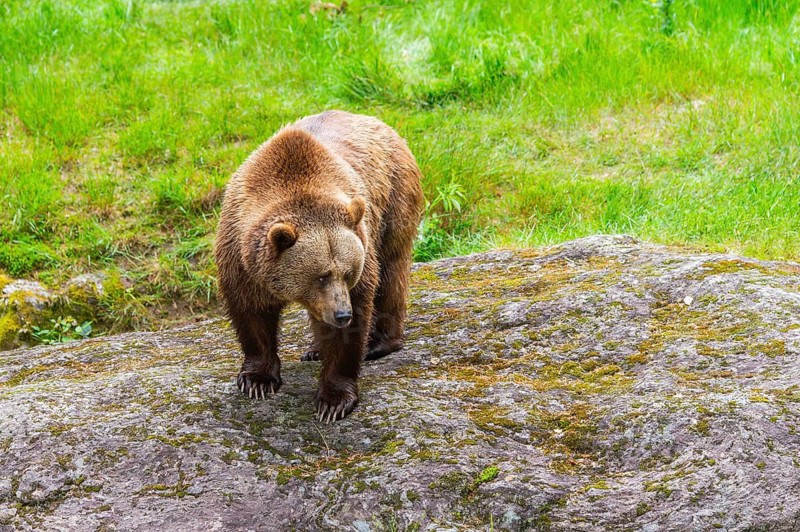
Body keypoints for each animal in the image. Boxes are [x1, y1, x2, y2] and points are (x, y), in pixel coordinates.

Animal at [214, 110, 424, 422]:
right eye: (321, 276)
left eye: (348, 273)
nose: (342, 313)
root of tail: (379, 121)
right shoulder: (240, 255)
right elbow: (250, 311)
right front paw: (257, 380)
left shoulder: (361, 253)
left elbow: (349, 329)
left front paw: (333, 401)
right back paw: (315, 350)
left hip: (393, 197)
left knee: (392, 269)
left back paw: (379, 343)